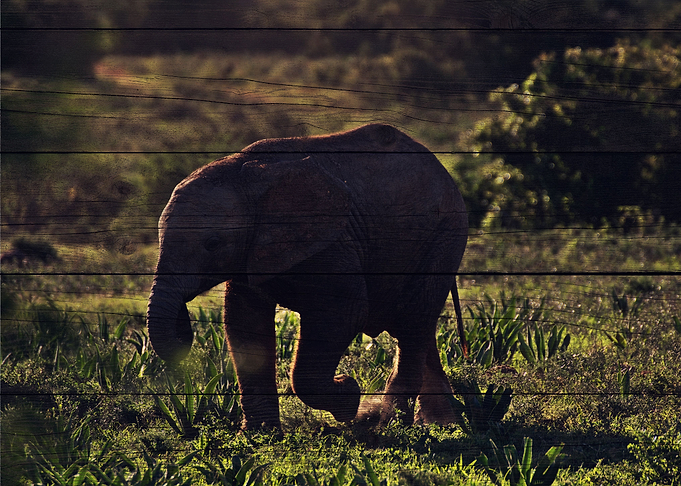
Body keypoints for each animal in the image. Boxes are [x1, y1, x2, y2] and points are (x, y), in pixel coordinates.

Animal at [146, 123, 468, 430]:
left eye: (212, 244)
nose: (183, 322)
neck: (245, 174)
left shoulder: (334, 244)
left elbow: (345, 313)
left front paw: (349, 397)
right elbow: (245, 321)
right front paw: (259, 436)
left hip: (445, 237)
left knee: (413, 322)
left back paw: (388, 426)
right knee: (416, 329)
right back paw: (438, 423)